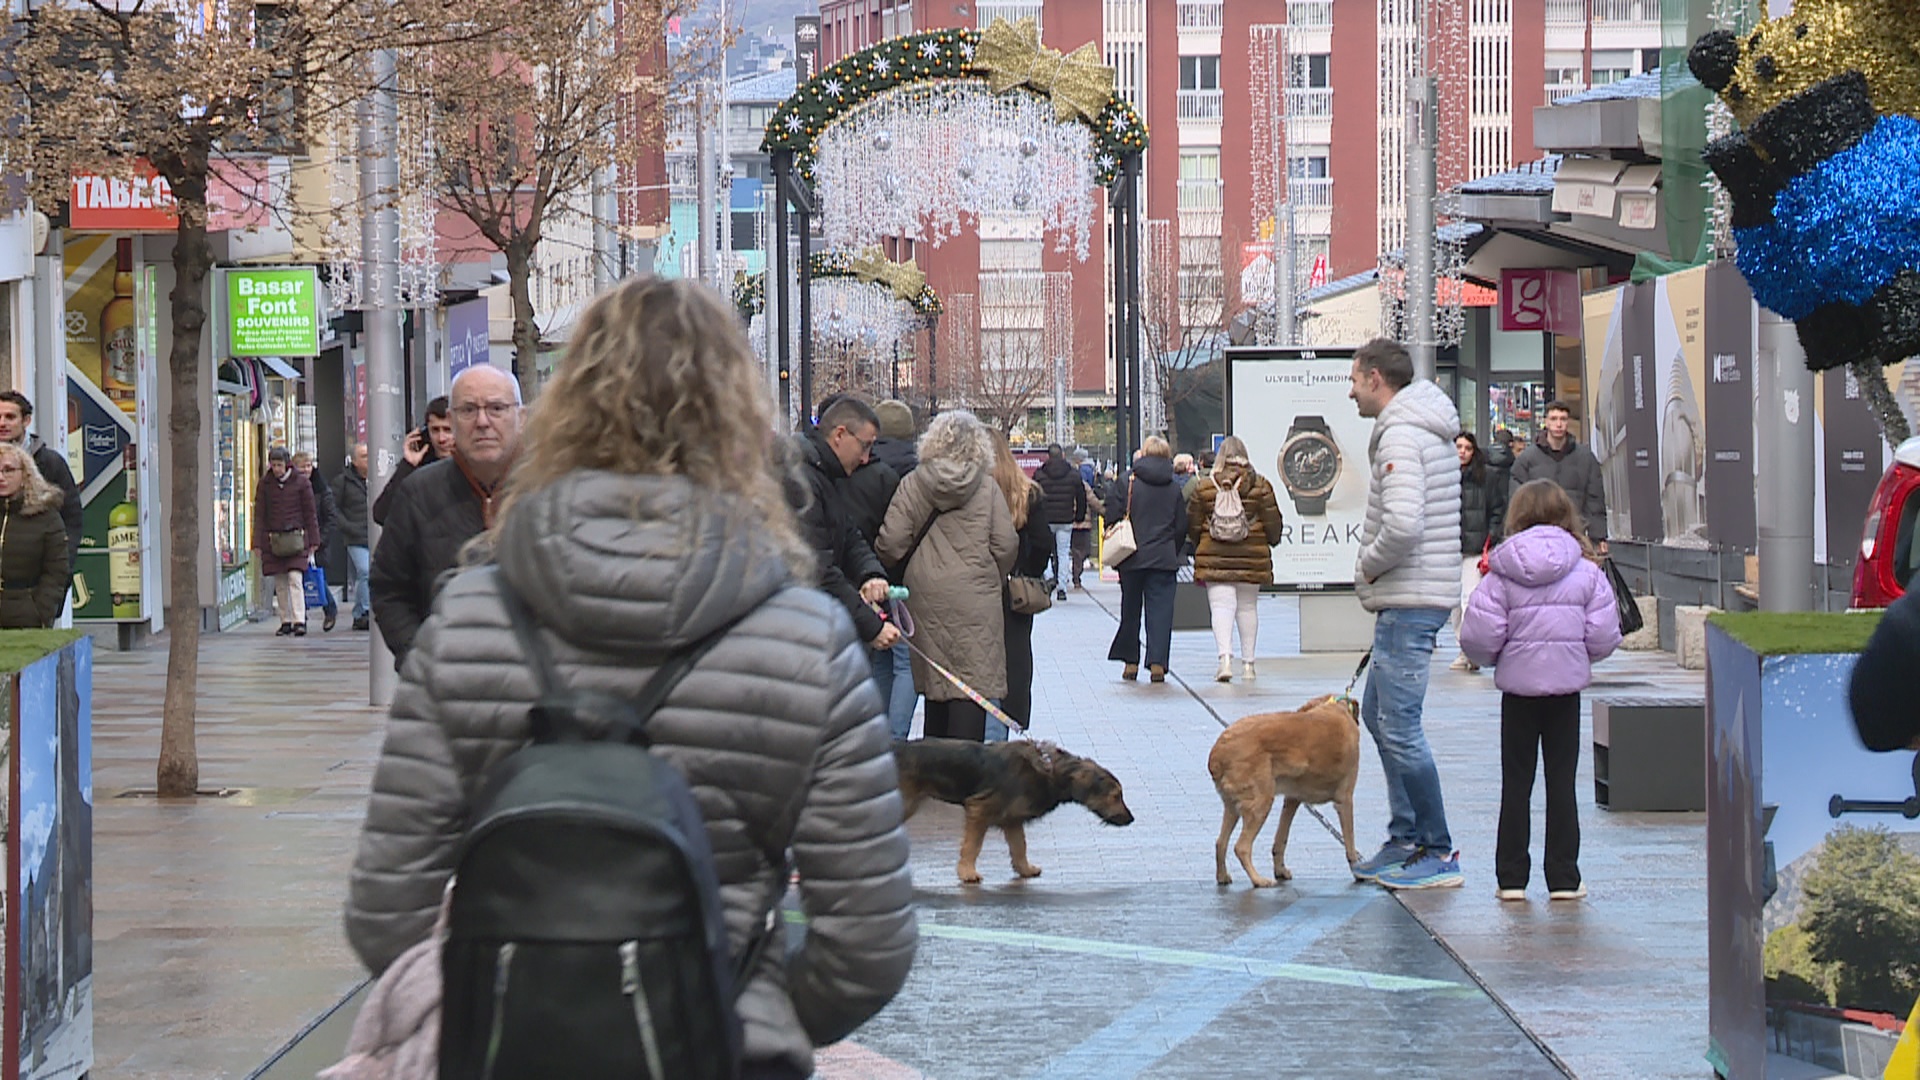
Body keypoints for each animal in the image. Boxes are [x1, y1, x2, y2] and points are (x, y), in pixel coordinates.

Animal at [890, 730, 1128, 883]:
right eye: (1115, 796)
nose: (1131, 818)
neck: (1050, 770)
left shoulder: (1011, 819)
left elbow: (1019, 846)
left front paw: (1025, 869)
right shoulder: (980, 809)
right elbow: (972, 845)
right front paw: (967, 872)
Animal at [1205, 691, 1359, 887]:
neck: (1337, 708)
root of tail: (1217, 753)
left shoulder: (1292, 799)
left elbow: (1281, 838)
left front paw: (1280, 869)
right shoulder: (1345, 799)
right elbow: (1350, 840)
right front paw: (1358, 869)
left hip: (1233, 806)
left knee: (1220, 843)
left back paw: (1223, 876)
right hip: (1260, 803)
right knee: (1241, 847)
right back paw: (1258, 880)